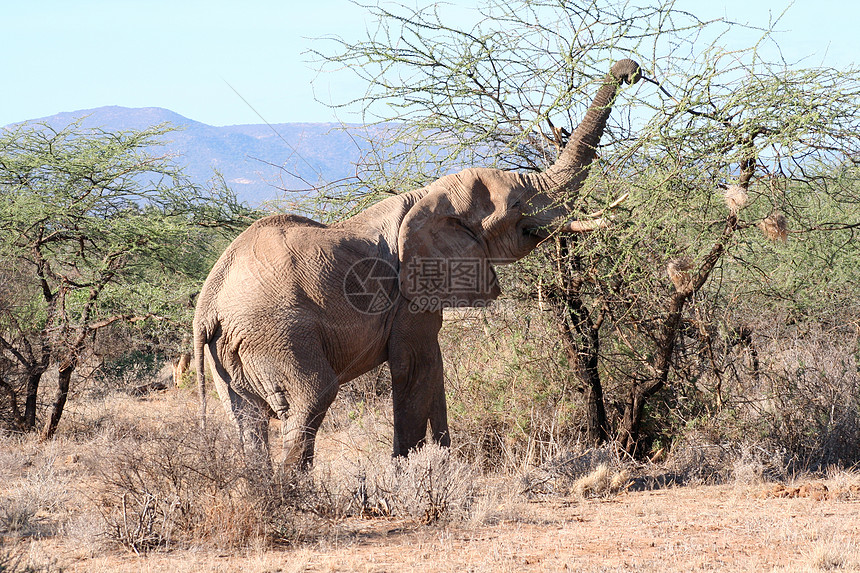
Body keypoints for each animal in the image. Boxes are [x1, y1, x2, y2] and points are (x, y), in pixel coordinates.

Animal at [193, 59, 640, 470]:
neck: (429, 196)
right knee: (311, 397)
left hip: (230, 354)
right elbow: (414, 367)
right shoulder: (408, 297)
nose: (631, 70)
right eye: (516, 205)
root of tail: (207, 308)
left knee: (246, 419)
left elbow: (433, 369)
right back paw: (296, 495)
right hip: (277, 334)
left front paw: (446, 464)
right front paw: (408, 471)